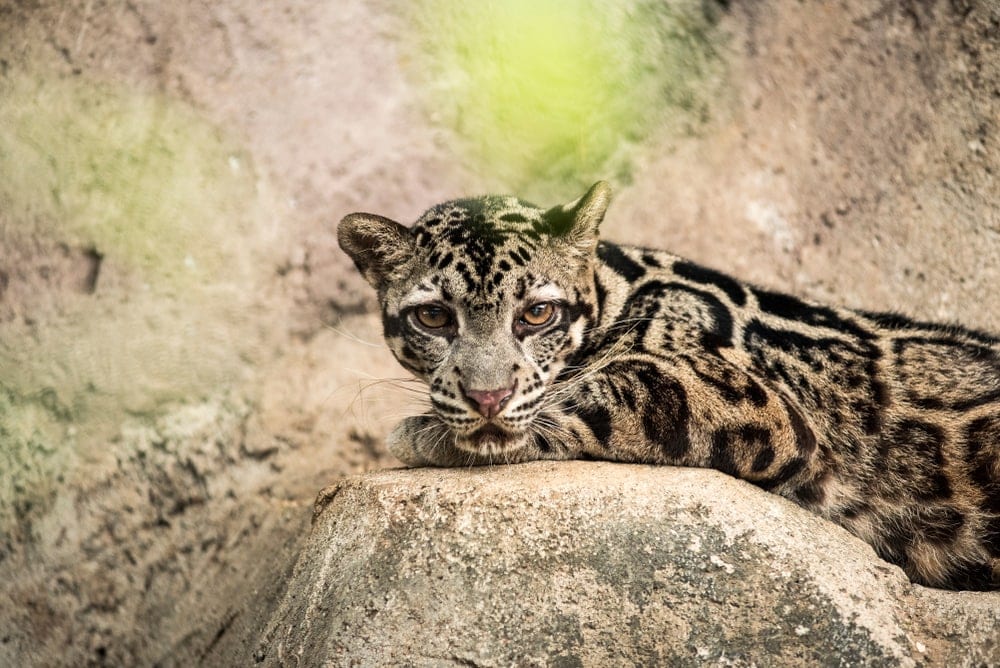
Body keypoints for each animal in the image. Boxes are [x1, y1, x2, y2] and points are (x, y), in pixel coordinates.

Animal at [338, 181, 1000, 591]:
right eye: (433, 317)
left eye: (537, 314)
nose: (487, 398)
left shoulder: (752, 401)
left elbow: (599, 393)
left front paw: (427, 432)